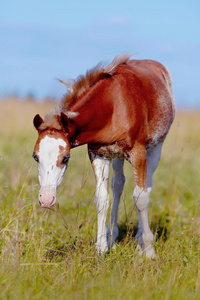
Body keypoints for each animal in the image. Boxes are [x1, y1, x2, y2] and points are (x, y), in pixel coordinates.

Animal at [32, 54, 175, 258]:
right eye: (35, 157)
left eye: (66, 158)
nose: (45, 199)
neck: (113, 105)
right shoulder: (98, 154)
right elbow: (102, 198)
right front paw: (101, 247)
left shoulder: (138, 153)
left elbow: (140, 197)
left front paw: (148, 250)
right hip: (117, 156)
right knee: (118, 185)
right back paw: (113, 235)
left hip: (155, 148)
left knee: (146, 187)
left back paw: (139, 238)